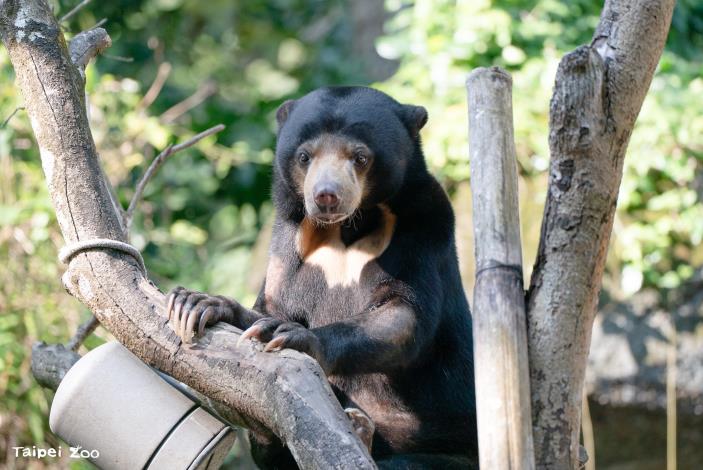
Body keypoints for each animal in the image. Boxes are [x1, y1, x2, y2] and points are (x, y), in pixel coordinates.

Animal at [167, 86, 477, 469]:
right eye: (304, 156)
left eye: (360, 157)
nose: (326, 196)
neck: (346, 228)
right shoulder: (288, 238)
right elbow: (274, 303)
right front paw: (199, 303)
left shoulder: (423, 227)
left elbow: (405, 313)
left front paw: (288, 335)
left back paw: (361, 430)